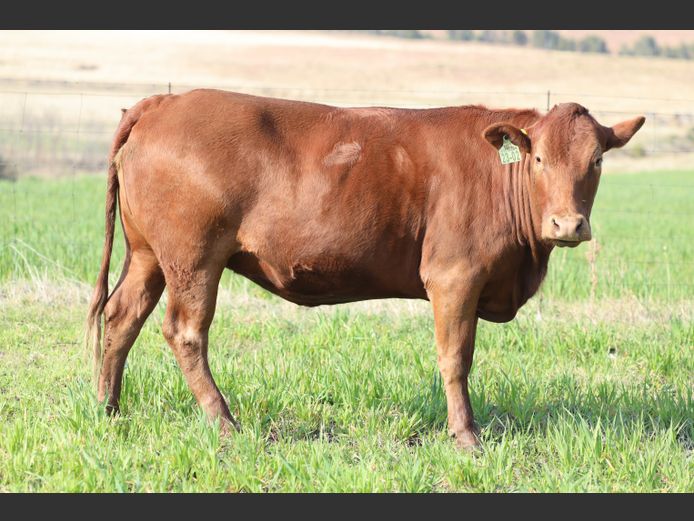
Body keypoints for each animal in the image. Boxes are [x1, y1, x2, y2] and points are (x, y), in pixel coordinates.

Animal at [86, 89, 644, 449]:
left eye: (596, 160)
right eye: (539, 159)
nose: (567, 224)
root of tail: (165, 102)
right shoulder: (454, 276)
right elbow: (456, 359)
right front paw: (466, 435)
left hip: (148, 256)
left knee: (121, 317)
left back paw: (108, 409)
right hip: (195, 259)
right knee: (184, 332)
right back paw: (225, 423)